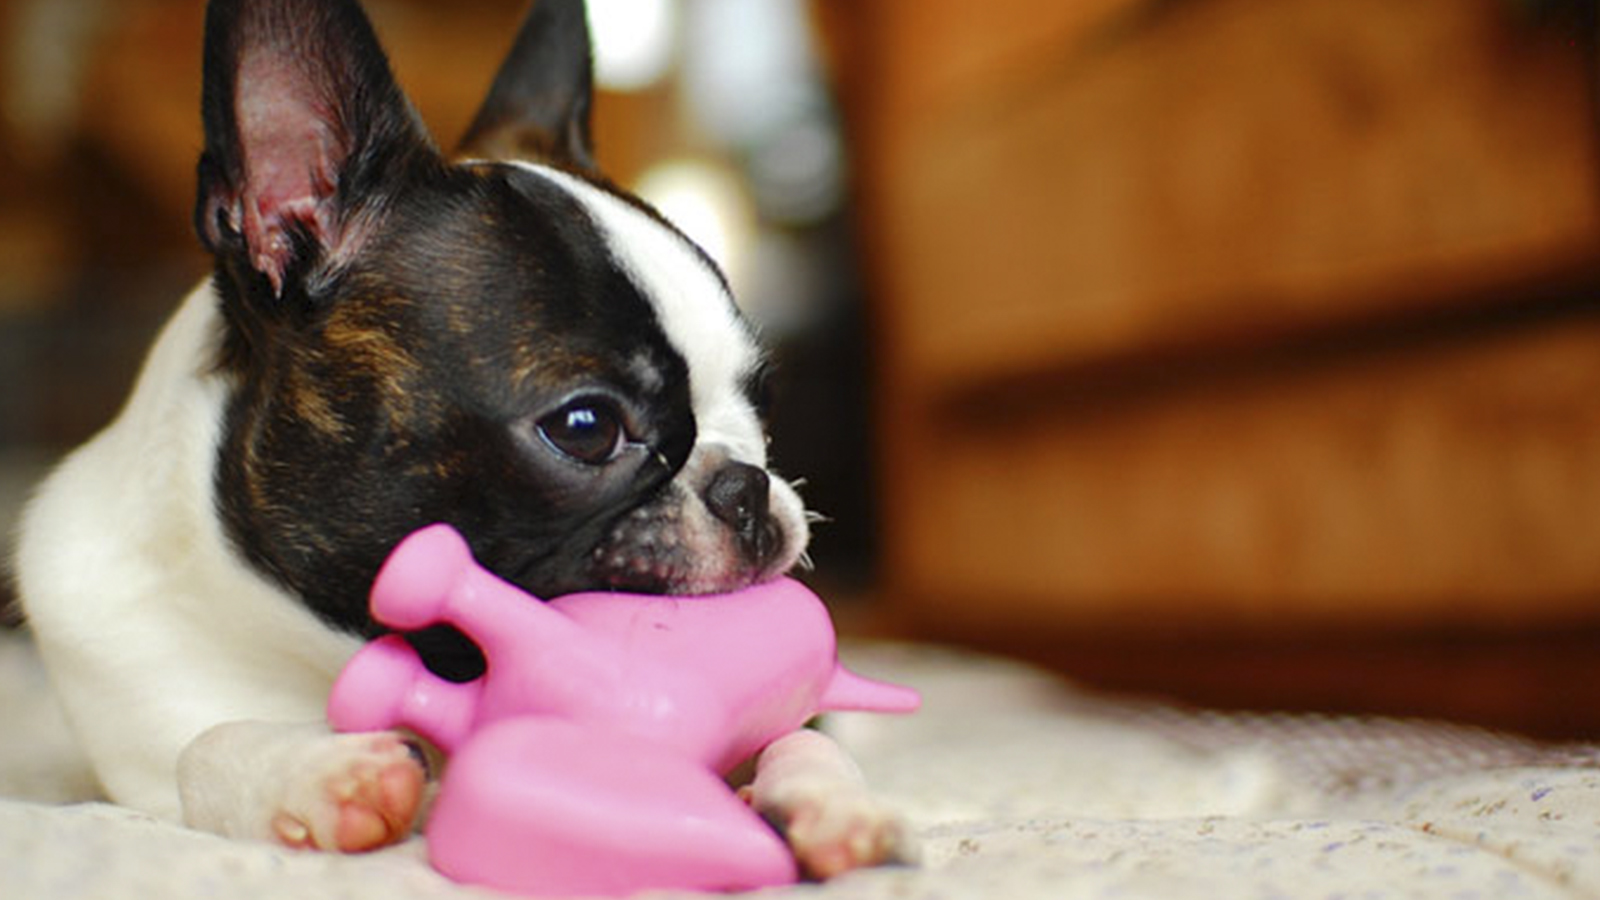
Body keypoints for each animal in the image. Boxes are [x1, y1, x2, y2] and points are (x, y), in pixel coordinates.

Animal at [12, 0, 908, 877]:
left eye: (765, 398)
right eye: (585, 428)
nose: (747, 487)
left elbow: (801, 735)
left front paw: (828, 803)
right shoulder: (138, 758)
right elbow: (202, 749)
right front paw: (315, 774)